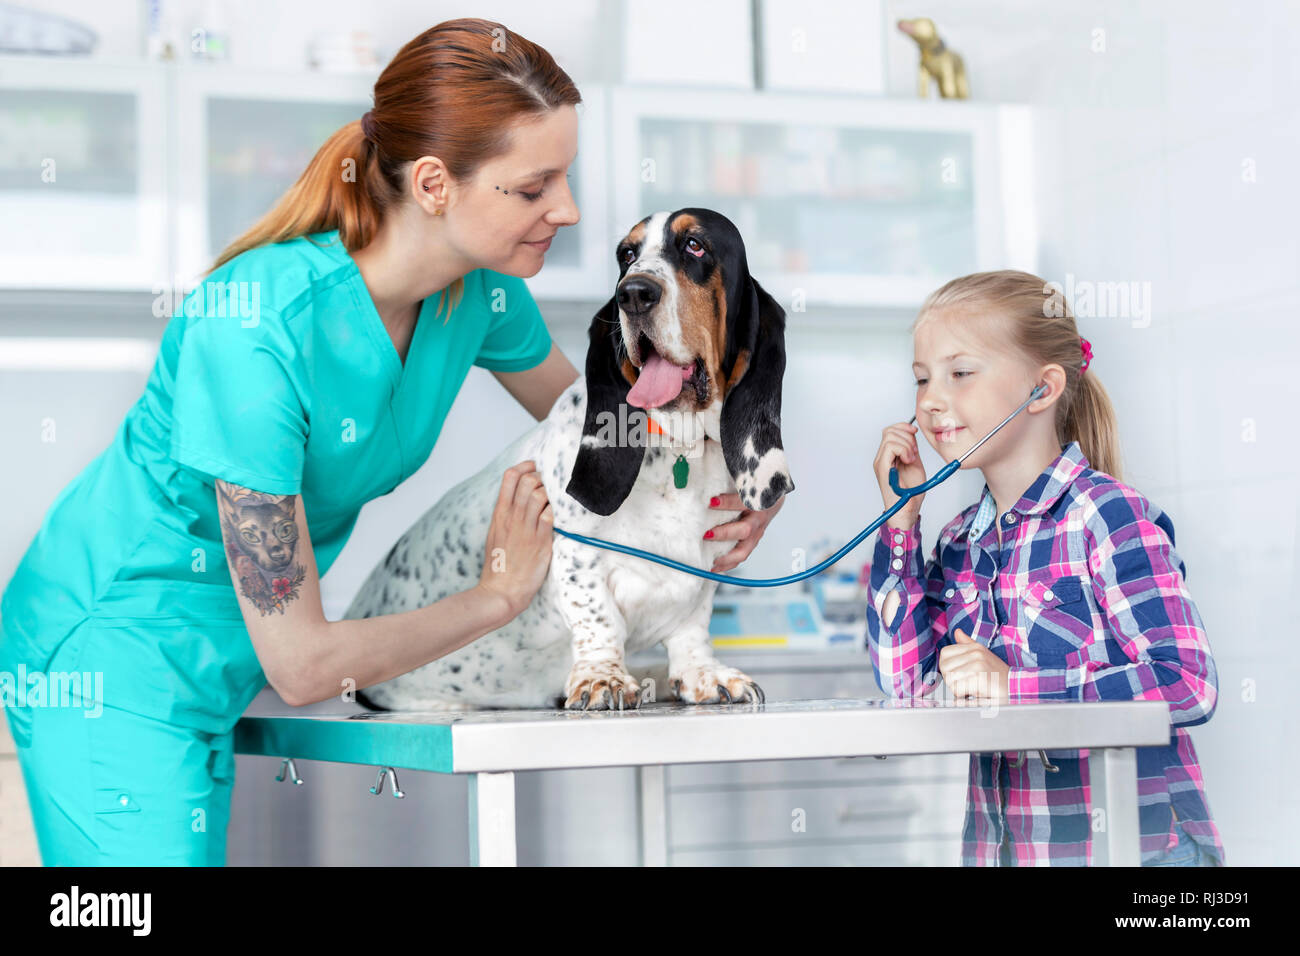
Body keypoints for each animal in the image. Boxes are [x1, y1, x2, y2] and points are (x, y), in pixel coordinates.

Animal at [345, 210, 790, 717]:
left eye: (695, 245)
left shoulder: (707, 566)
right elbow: (598, 618)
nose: (633, 293)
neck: (682, 450)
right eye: (627, 255)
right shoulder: (577, 554)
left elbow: (692, 627)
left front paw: (703, 675)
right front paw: (603, 679)